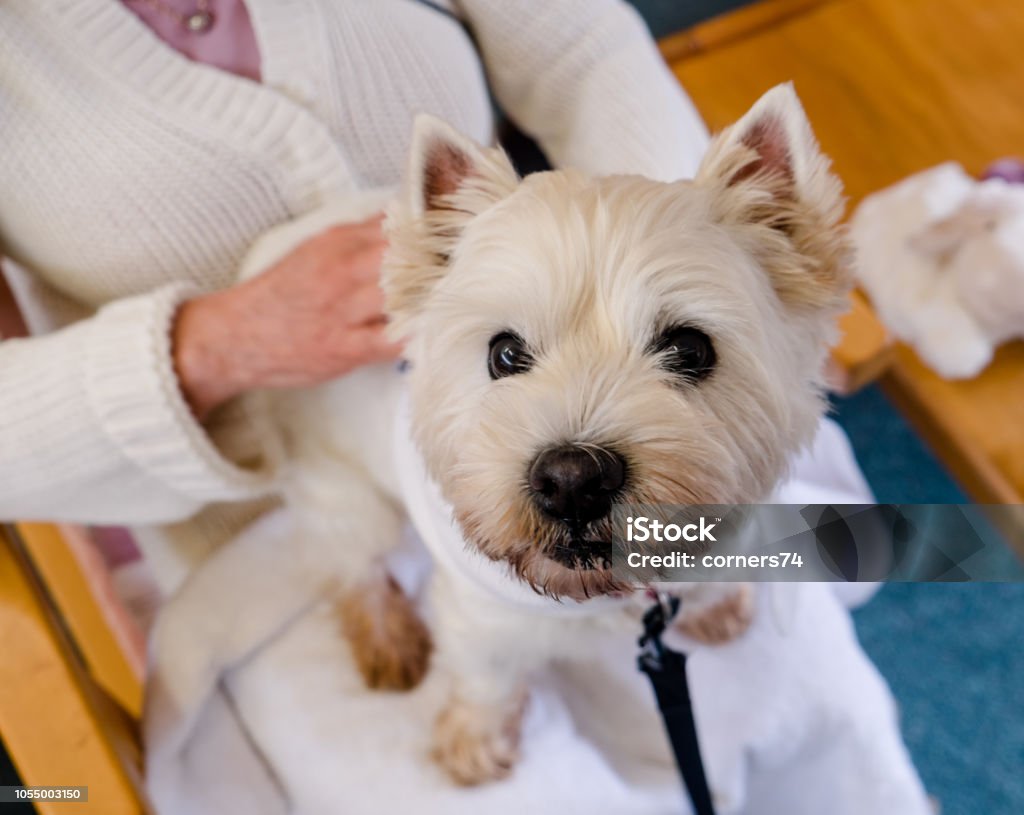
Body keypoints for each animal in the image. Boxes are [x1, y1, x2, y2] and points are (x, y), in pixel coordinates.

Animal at [239, 81, 847, 782]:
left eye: (690, 349)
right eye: (504, 353)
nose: (573, 481)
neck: (605, 596)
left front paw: (717, 608)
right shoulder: (481, 618)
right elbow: (487, 675)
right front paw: (475, 743)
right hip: (341, 488)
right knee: (350, 563)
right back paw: (389, 641)